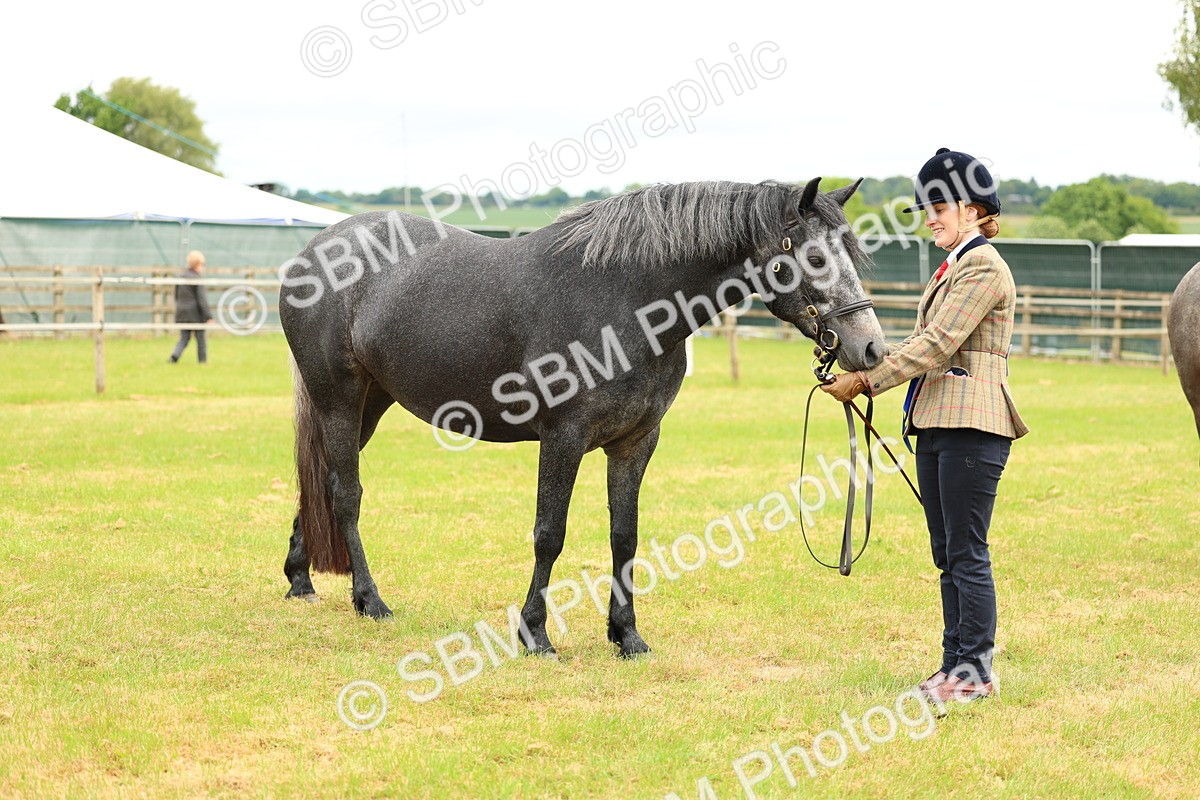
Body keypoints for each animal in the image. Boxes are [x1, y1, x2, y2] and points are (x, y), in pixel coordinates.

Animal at [278, 177, 886, 657]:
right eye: (814, 257)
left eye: (852, 254)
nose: (871, 349)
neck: (625, 302)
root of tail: (314, 251)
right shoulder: (563, 438)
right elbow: (550, 534)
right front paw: (535, 634)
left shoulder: (636, 442)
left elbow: (625, 536)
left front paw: (627, 635)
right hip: (338, 398)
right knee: (345, 494)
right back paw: (369, 600)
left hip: (370, 403)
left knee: (322, 482)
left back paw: (300, 580)